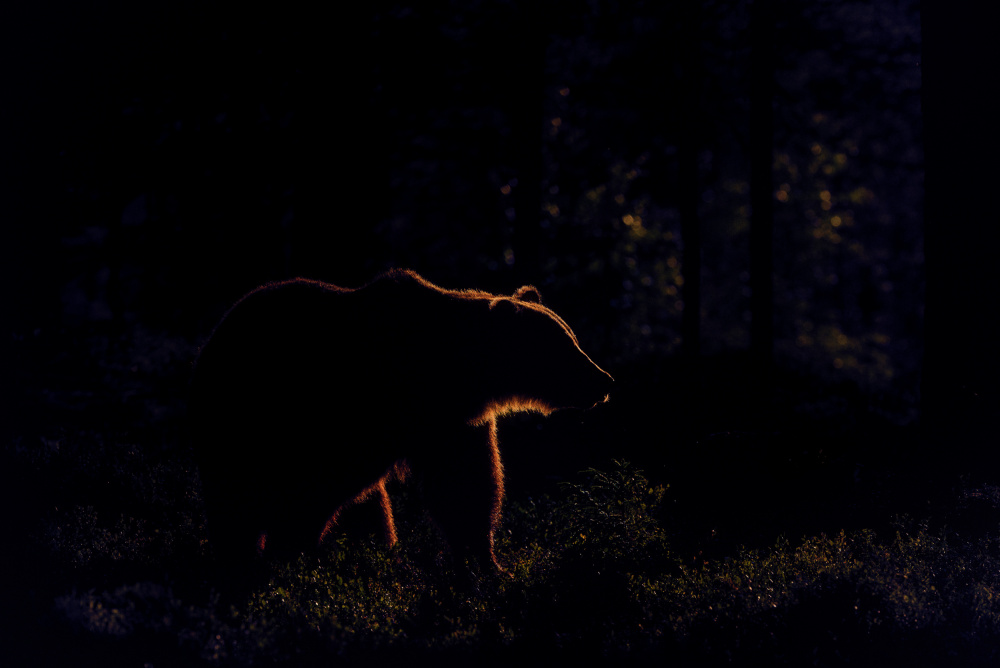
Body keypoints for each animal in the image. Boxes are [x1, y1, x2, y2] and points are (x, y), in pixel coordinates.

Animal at [189, 268, 613, 579]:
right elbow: (316, 491)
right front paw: (293, 554)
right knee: (237, 495)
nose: (604, 380)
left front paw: (487, 566)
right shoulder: (355, 414)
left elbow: (468, 488)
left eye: (572, 338)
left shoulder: (454, 423)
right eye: (566, 346)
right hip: (242, 415)